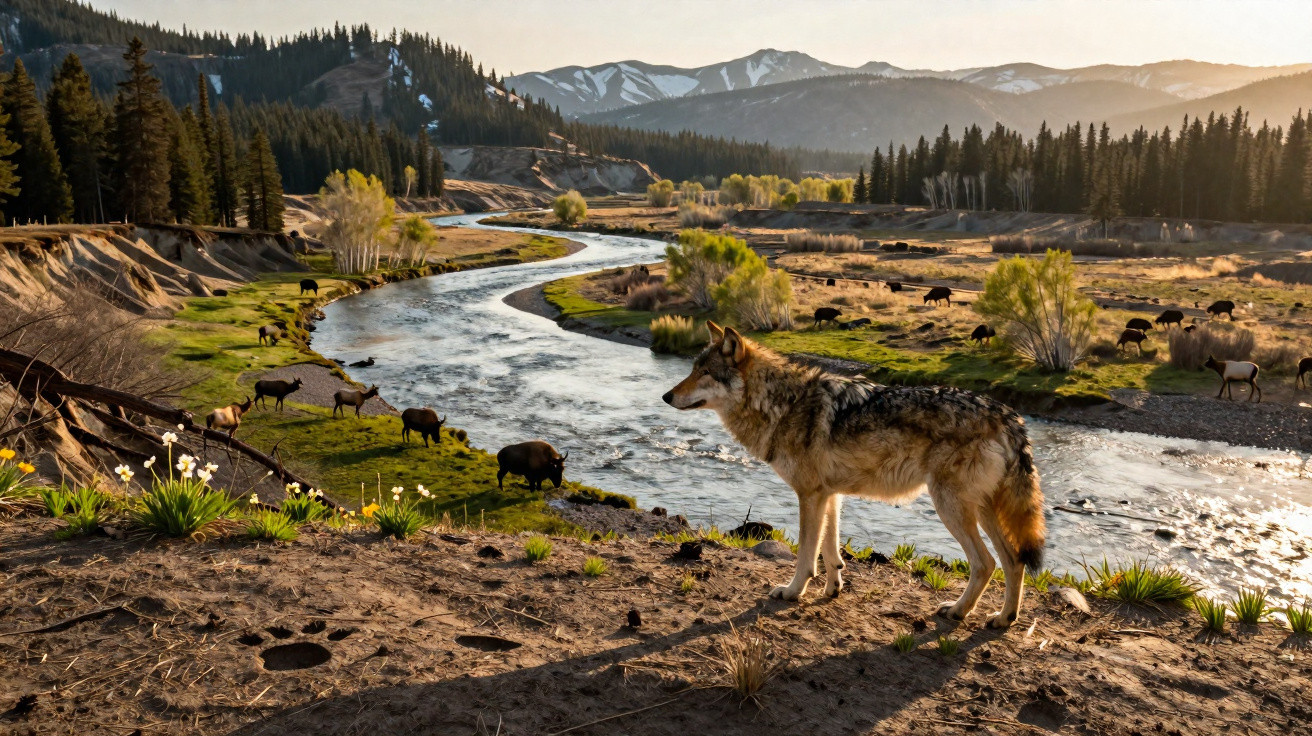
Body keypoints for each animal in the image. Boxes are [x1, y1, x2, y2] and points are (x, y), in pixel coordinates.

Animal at [662, 322, 1046, 628]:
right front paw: (833, 589)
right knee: (1014, 562)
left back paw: (958, 611)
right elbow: (831, 551)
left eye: (705, 373)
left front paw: (793, 591)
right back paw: (1004, 619)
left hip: (951, 508)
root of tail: (1009, 416)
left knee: (985, 563)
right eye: (692, 369)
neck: (783, 404)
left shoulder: (809, 495)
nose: (666, 396)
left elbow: (806, 554)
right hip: (983, 511)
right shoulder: (830, 495)